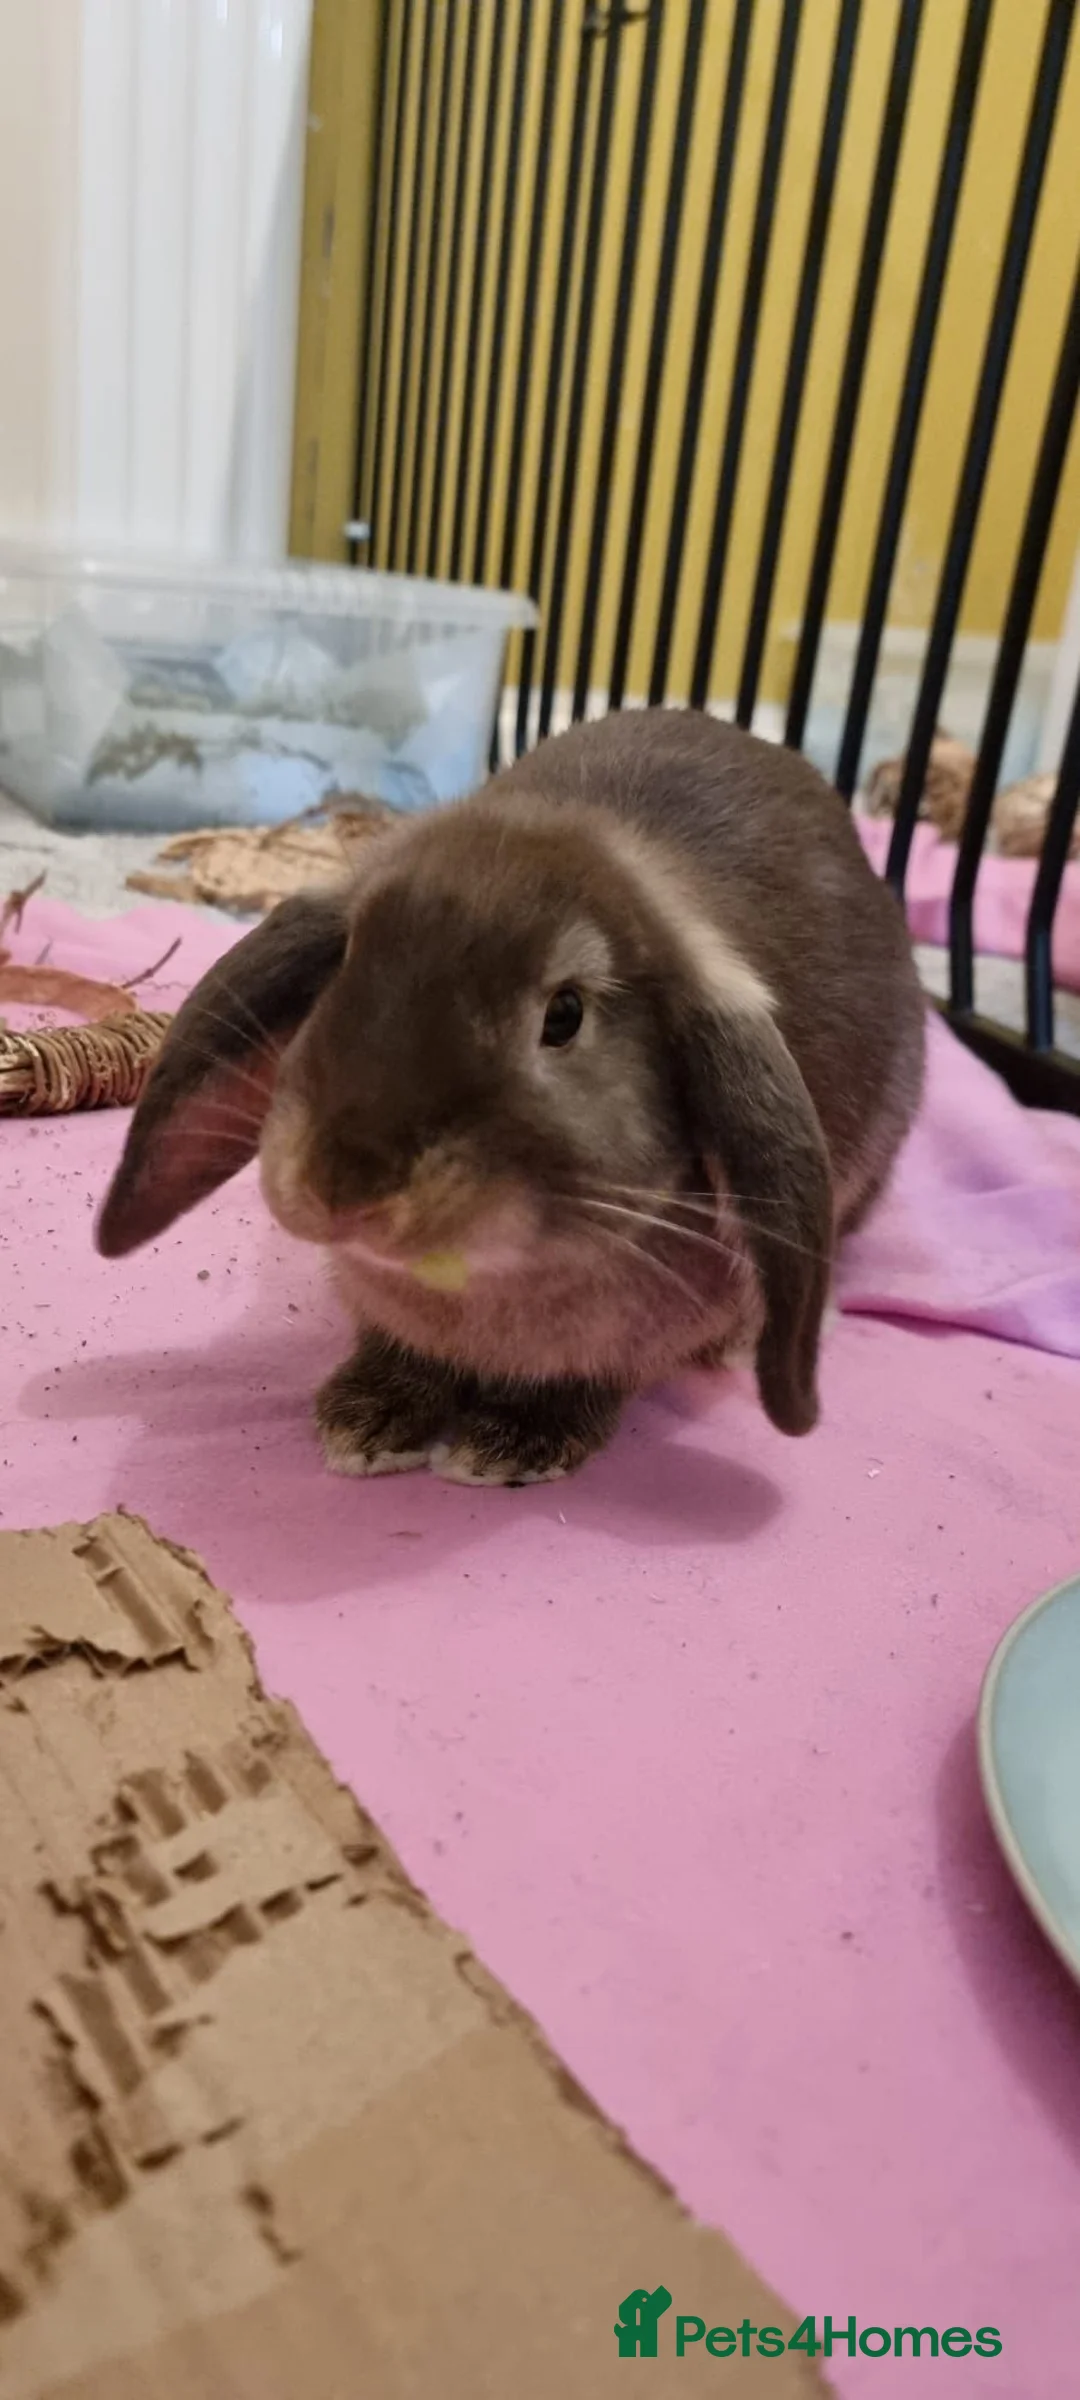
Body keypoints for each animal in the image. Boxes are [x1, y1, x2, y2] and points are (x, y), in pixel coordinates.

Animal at [96, 709, 925, 1486]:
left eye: (565, 1015)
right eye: (348, 963)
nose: (344, 1190)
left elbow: (592, 1382)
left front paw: (515, 1444)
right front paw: (369, 1417)